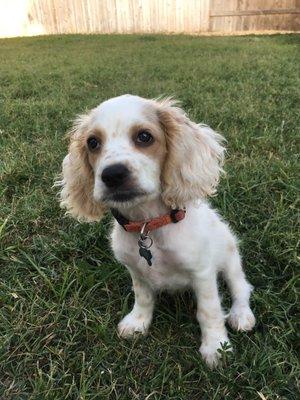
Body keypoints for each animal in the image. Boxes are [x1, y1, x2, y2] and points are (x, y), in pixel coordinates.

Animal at [56, 94, 255, 366]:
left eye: (144, 137)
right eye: (93, 142)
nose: (113, 174)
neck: (147, 224)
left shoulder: (203, 273)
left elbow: (209, 310)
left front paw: (216, 347)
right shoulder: (135, 270)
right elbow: (143, 298)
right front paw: (137, 323)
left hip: (230, 257)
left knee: (241, 288)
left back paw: (241, 315)